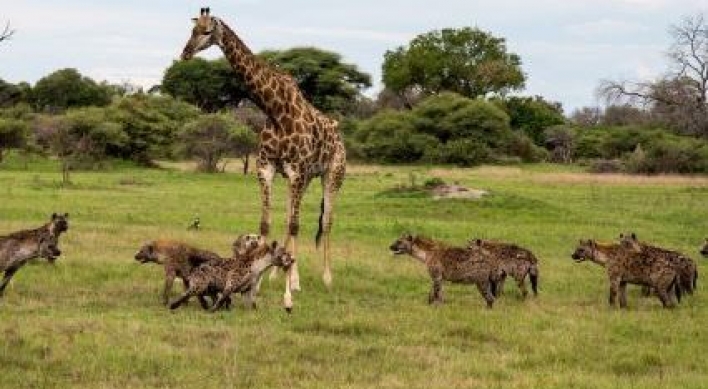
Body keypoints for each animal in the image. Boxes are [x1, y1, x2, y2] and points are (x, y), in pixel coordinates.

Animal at [180, 7, 346, 310]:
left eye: (207, 31)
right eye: (192, 29)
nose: (185, 53)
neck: (275, 110)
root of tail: (339, 134)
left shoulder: (295, 170)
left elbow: (295, 224)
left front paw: (291, 286)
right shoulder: (267, 168)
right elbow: (266, 223)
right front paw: (261, 274)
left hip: (332, 175)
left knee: (326, 221)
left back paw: (325, 278)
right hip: (304, 179)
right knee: (294, 218)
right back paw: (281, 273)